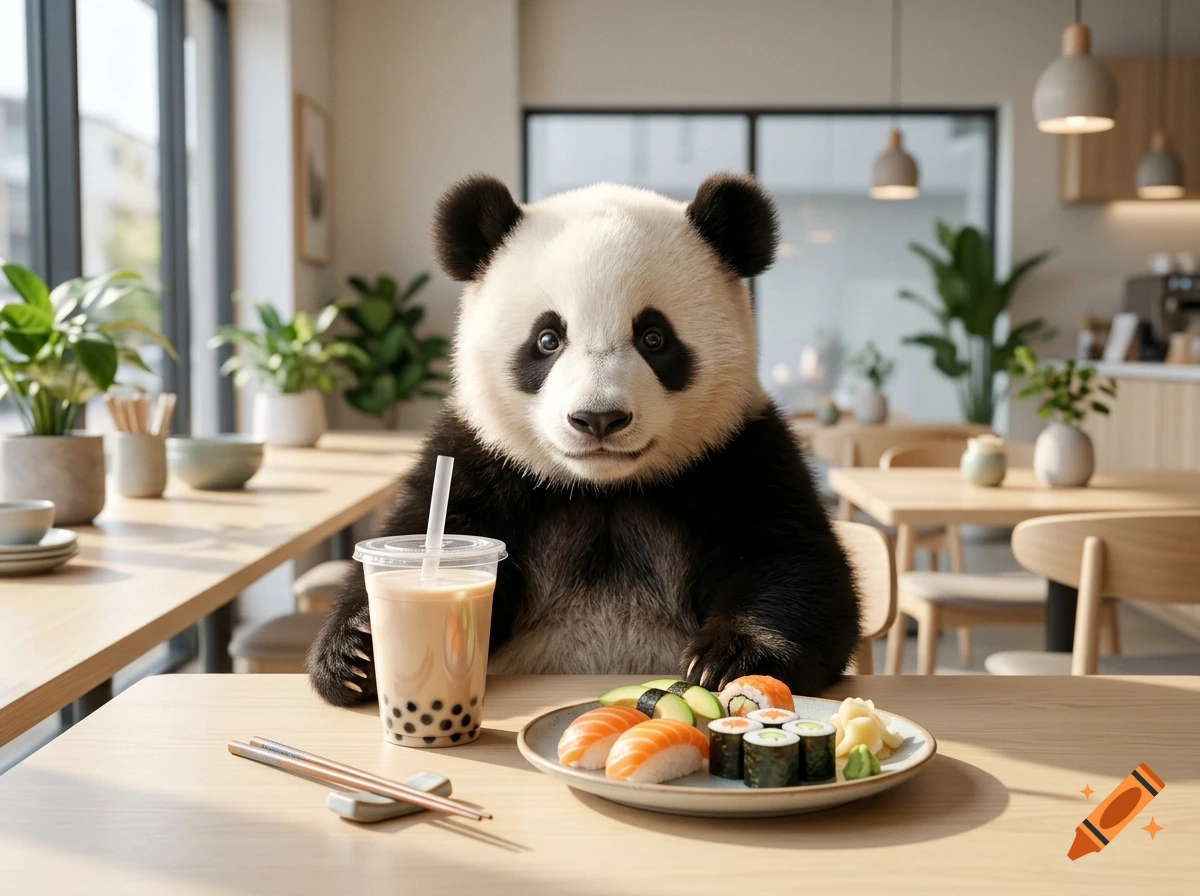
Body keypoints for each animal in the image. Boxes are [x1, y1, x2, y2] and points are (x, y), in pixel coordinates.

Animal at [308, 172, 860, 707]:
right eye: (548, 339)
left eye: (654, 337)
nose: (598, 419)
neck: (603, 488)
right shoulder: (480, 458)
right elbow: (421, 532)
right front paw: (357, 652)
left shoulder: (738, 453)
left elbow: (792, 560)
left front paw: (732, 657)